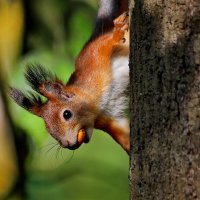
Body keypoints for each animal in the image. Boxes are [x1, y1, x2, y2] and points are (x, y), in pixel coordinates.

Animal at [9, 0, 130, 153]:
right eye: (48, 129)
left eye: (67, 114)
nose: (69, 145)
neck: (97, 103)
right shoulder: (110, 117)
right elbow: (125, 135)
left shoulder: (94, 55)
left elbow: (106, 42)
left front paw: (117, 32)